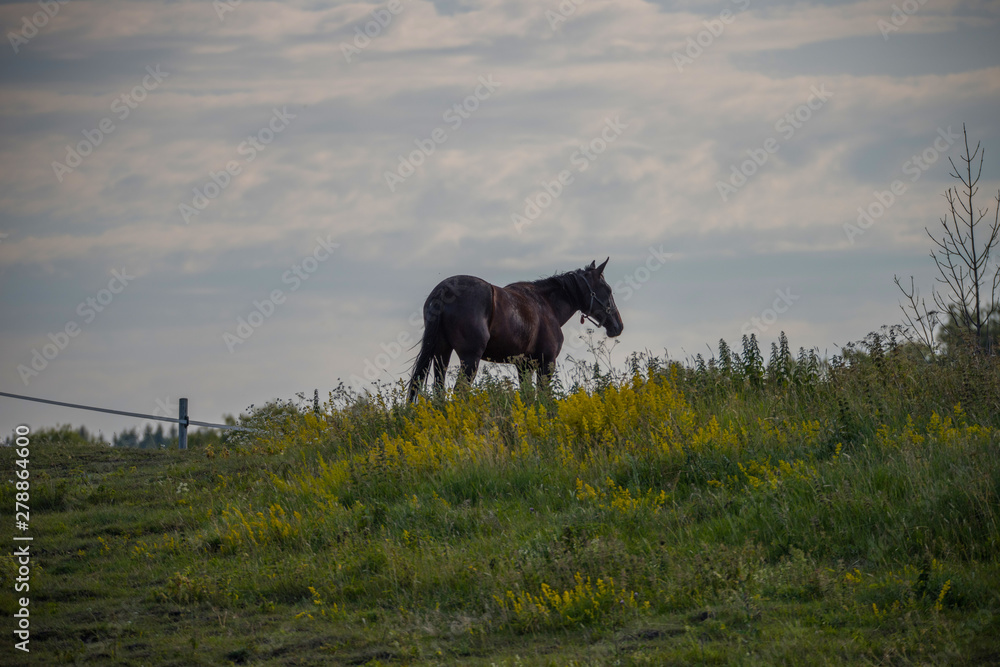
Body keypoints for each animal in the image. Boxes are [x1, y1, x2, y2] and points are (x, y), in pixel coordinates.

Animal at [407, 258, 624, 402]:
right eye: (608, 290)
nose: (618, 325)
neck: (546, 305)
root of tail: (444, 290)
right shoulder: (546, 363)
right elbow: (543, 396)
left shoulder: (523, 366)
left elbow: (527, 396)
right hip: (469, 359)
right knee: (459, 391)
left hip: (441, 354)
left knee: (439, 389)